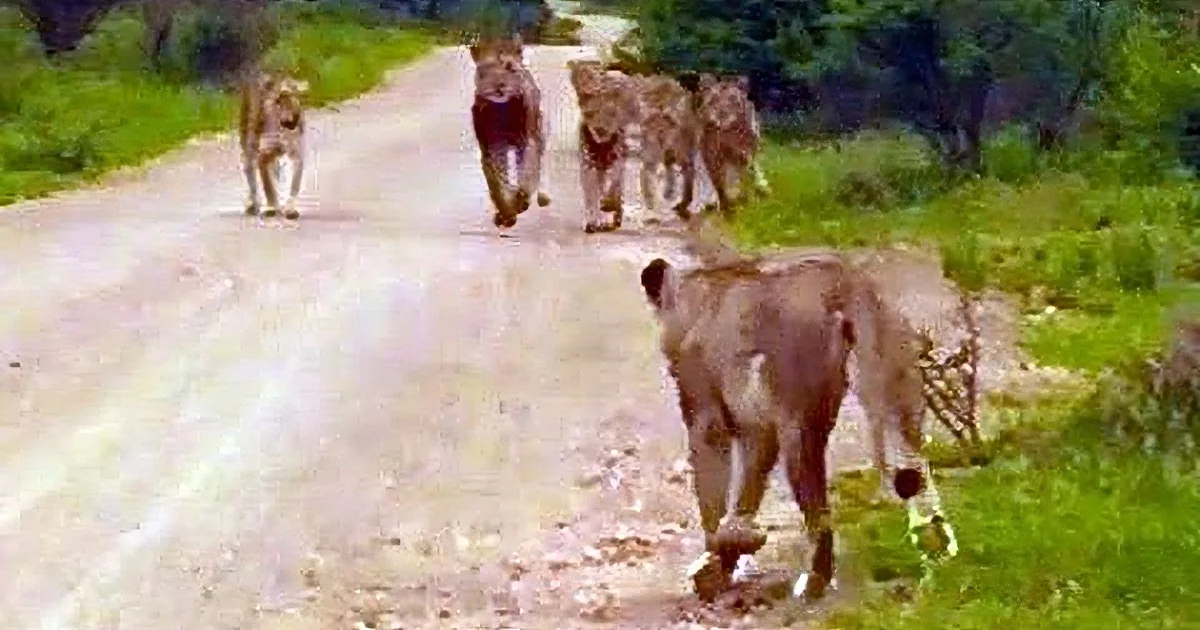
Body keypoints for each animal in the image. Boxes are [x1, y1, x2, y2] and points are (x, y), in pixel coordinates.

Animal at [239, 70, 308, 220]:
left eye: (295, 96)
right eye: (278, 101)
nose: (293, 120)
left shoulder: (297, 154)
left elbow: (294, 183)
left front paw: (289, 209)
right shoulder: (264, 155)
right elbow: (268, 186)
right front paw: (271, 207)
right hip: (249, 142)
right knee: (250, 170)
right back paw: (253, 204)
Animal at [469, 34, 552, 229]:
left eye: (510, 68)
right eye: (484, 71)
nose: (499, 86)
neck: (501, 109)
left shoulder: (528, 141)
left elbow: (528, 171)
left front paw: (520, 201)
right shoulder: (492, 146)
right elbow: (497, 181)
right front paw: (506, 212)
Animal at [568, 59, 641, 233]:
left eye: (611, 113)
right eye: (593, 112)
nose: (601, 130)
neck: (601, 146)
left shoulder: (615, 163)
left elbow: (611, 186)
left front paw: (608, 206)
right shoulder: (589, 166)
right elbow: (591, 195)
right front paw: (591, 221)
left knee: (616, 190)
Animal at [638, 228, 958, 603]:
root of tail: (845, 279)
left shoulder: (709, 416)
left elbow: (713, 499)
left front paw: (716, 566)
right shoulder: (756, 428)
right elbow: (747, 491)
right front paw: (731, 553)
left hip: (798, 424)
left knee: (819, 511)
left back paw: (813, 582)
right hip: (884, 391)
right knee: (915, 470)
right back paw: (940, 552)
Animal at [694, 74, 771, 218]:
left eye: (730, 102)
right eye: (711, 101)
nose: (712, 122)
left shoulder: (744, 153)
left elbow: (742, 176)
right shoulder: (712, 156)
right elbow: (720, 181)